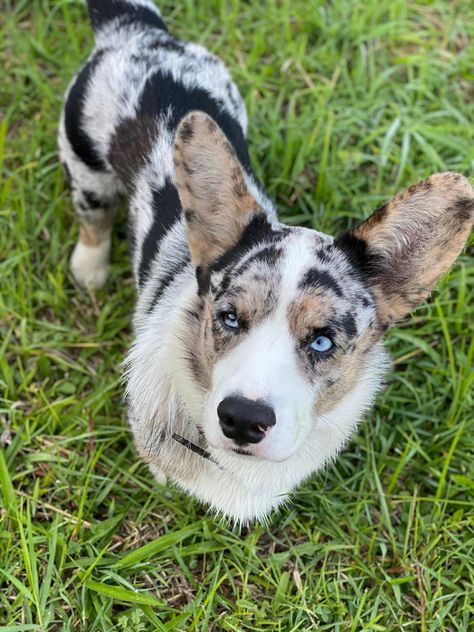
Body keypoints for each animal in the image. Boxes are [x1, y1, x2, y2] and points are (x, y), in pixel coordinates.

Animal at [60, 0, 474, 524]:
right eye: (229, 318)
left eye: (322, 340)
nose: (242, 419)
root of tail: (135, 29)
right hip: (86, 169)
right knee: (92, 218)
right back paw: (89, 270)